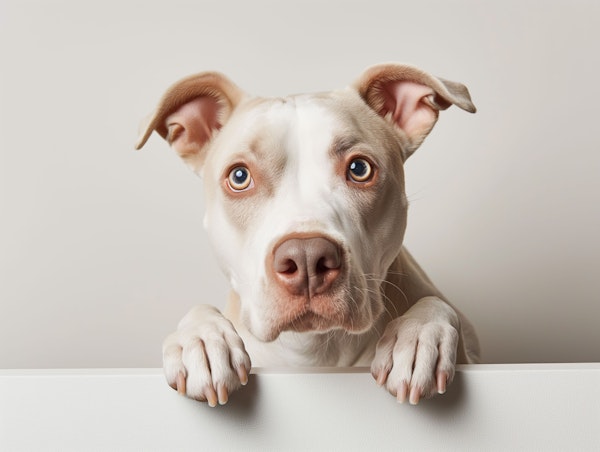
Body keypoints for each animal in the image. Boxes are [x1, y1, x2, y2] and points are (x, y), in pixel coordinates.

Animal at [135, 62, 478, 406]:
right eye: (239, 176)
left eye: (359, 169)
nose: (306, 258)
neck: (312, 350)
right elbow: (199, 309)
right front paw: (202, 340)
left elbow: (437, 304)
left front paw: (419, 337)